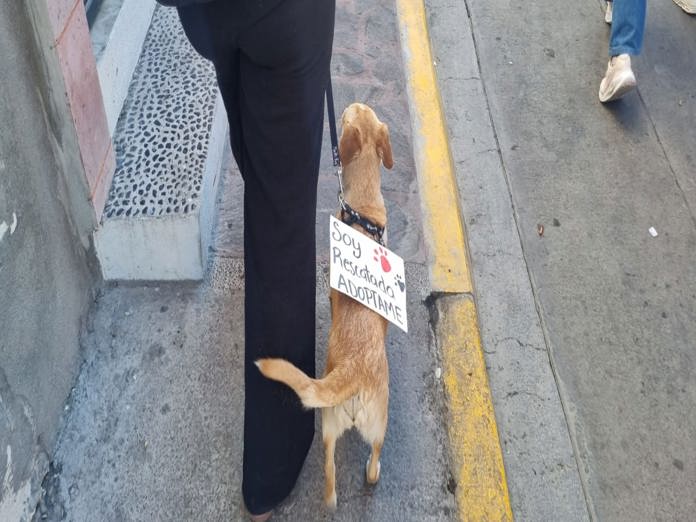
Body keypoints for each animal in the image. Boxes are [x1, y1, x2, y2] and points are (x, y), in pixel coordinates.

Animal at [256, 102, 394, 508]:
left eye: (351, 113)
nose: (346, 104)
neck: (362, 211)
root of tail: (353, 373)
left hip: (333, 423)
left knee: (338, 469)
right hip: (369, 427)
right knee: (362, 466)